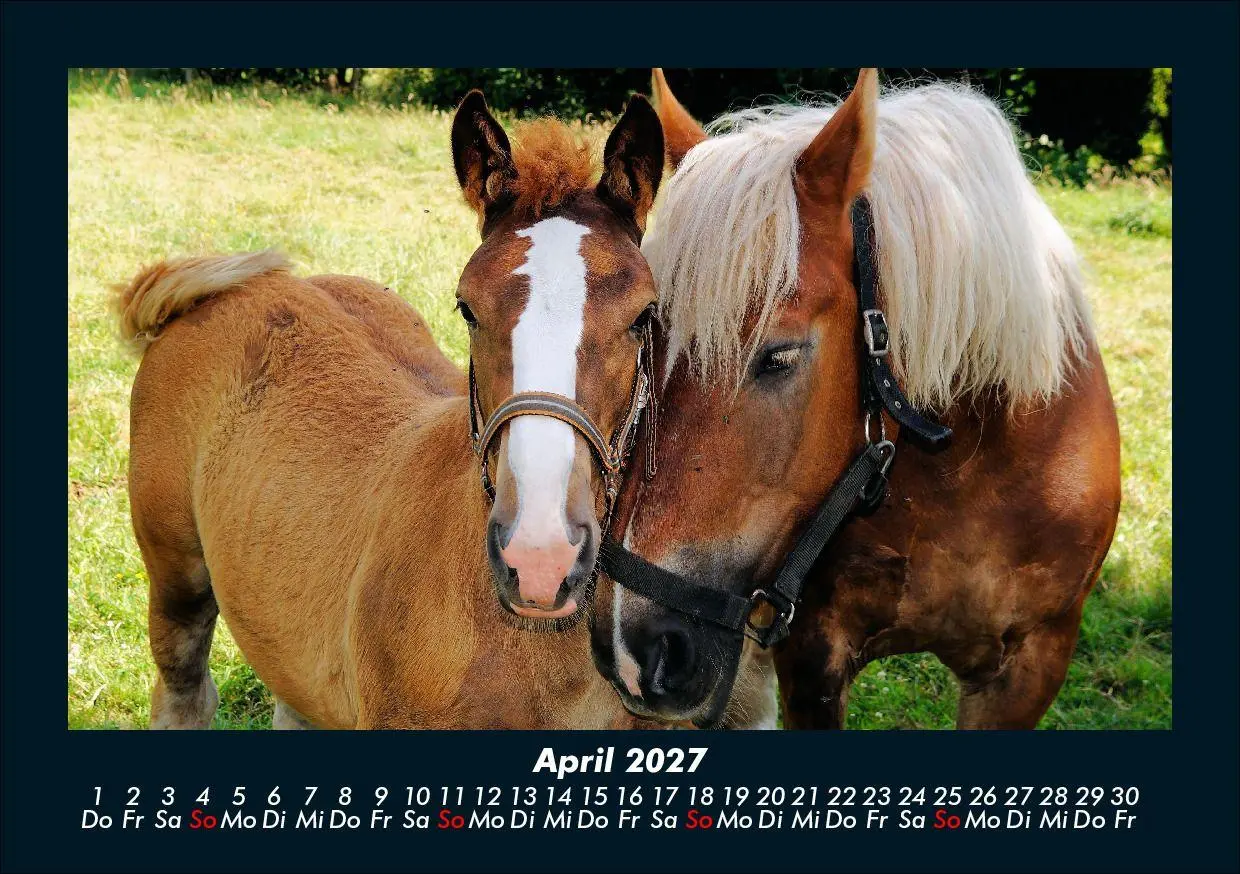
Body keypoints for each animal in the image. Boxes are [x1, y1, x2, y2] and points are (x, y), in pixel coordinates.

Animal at [119, 90, 667, 728]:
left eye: (644, 315)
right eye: (466, 307)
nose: (540, 557)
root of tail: (218, 293)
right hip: (175, 574)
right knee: (184, 690)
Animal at [592, 69, 1122, 730]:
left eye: (780, 356)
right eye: (644, 337)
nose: (629, 648)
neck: (966, 468)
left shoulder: (1031, 666)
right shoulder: (812, 659)